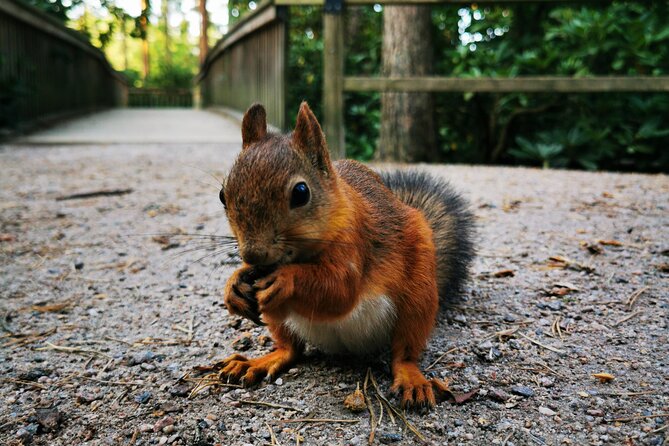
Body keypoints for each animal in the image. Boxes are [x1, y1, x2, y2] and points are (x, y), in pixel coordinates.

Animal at [217, 101, 472, 408]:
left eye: (301, 192)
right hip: (279, 321)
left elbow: (339, 291)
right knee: (290, 349)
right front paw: (234, 284)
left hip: (418, 298)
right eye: (222, 195)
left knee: (404, 353)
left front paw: (286, 280)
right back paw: (258, 361)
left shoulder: (357, 243)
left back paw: (412, 379)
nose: (254, 255)